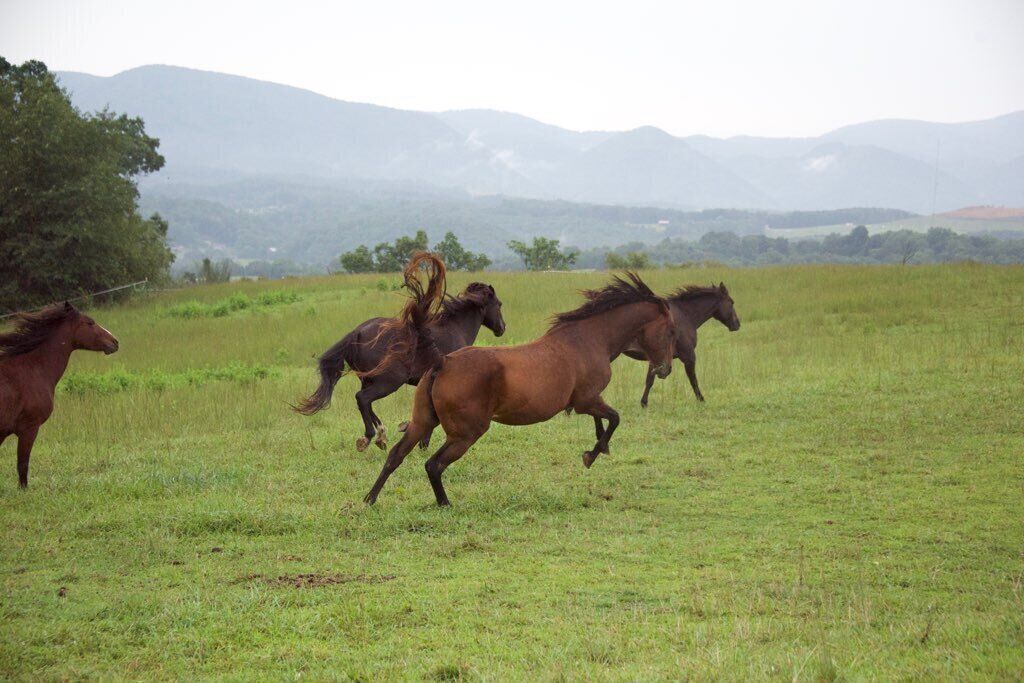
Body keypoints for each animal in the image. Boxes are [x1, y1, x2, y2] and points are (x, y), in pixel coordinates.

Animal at [294, 254, 505, 452]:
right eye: (499, 304)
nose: (502, 328)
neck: (455, 329)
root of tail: (358, 332)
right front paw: (420, 441)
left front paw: (415, 436)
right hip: (389, 380)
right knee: (363, 398)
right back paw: (369, 437)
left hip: (369, 379)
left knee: (365, 402)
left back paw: (381, 436)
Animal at [362, 269, 677, 506]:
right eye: (671, 330)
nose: (665, 369)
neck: (590, 339)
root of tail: (443, 362)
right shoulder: (585, 399)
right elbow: (614, 418)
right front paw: (591, 455)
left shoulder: (588, 400)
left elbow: (604, 421)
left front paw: (599, 448)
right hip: (466, 433)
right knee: (433, 464)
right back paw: (444, 504)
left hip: (422, 422)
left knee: (395, 456)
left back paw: (369, 499)